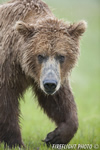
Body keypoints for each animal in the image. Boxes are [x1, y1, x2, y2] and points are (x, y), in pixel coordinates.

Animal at [0, 0, 86, 148]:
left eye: (61, 56)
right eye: (40, 55)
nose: (49, 84)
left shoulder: (53, 75)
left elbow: (59, 100)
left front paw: (55, 137)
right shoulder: (8, 68)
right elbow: (6, 103)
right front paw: (16, 143)